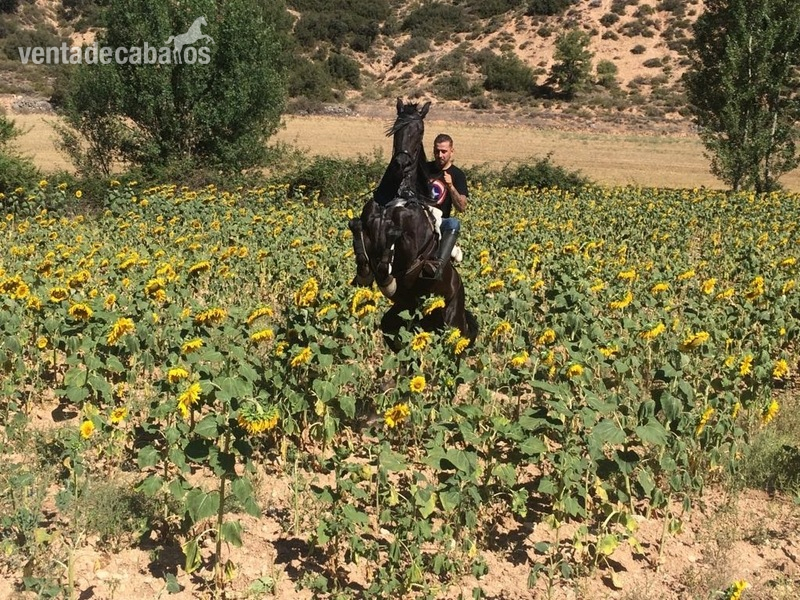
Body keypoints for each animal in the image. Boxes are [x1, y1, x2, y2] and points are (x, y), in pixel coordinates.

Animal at [348, 98, 478, 350]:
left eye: (419, 130)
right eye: (396, 127)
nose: (401, 163)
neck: (398, 195)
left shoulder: (410, 252)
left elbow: (395, 237)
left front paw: (387, 278)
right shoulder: (367, 228)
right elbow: (356, 227)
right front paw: (365, 273)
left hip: (452, 323)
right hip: (399, 317)